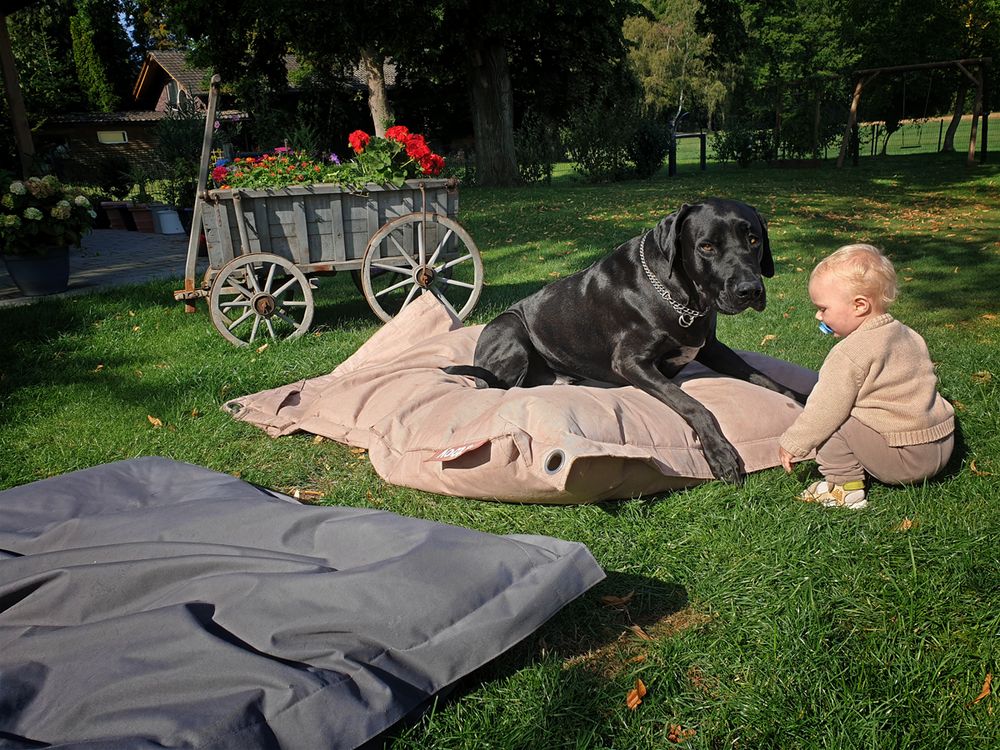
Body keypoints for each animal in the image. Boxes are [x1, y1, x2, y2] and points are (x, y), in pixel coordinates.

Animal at [450, 198, 808, 482]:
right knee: (500, 388)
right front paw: (719, 452)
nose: (750, 290)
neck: (683, 298)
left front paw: (805, 398)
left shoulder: (712, 348)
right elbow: (692, 404)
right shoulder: (631, 362)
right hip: (512, 328)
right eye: (706, 246)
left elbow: (767, 379)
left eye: (753, 239)